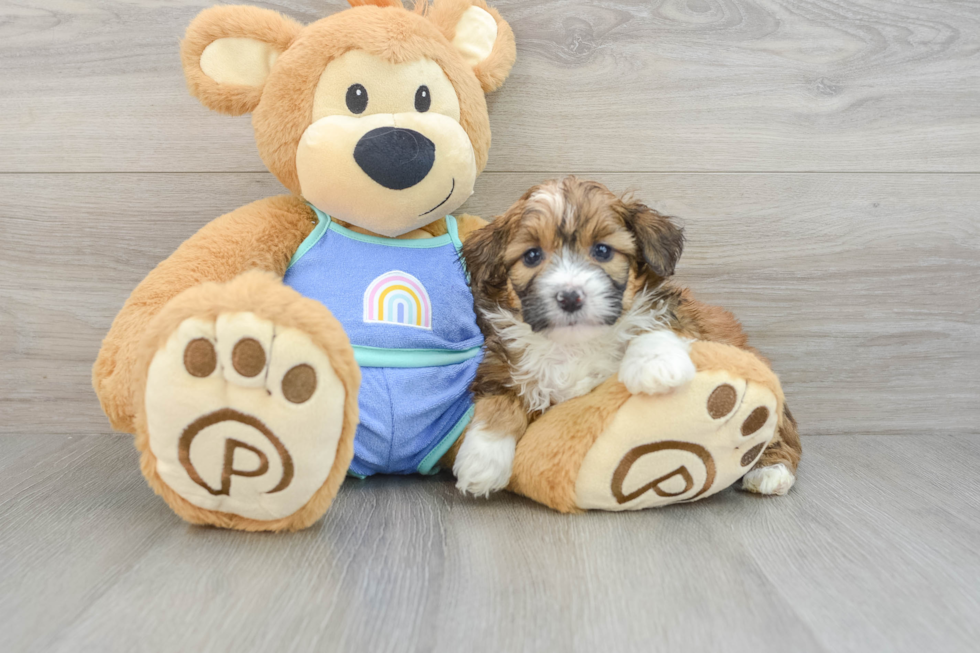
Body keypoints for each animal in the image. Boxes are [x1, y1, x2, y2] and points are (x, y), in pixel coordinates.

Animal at [456, 176, 800, 496]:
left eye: (602, 250)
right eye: (531, 256)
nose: (570, 297)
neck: (575, 346)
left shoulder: (683, 320)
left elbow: (653, 326)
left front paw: (657, 366)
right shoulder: (502, 365)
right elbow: (499, 402)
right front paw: (481, 462)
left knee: (777, 432)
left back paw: (771, 471)